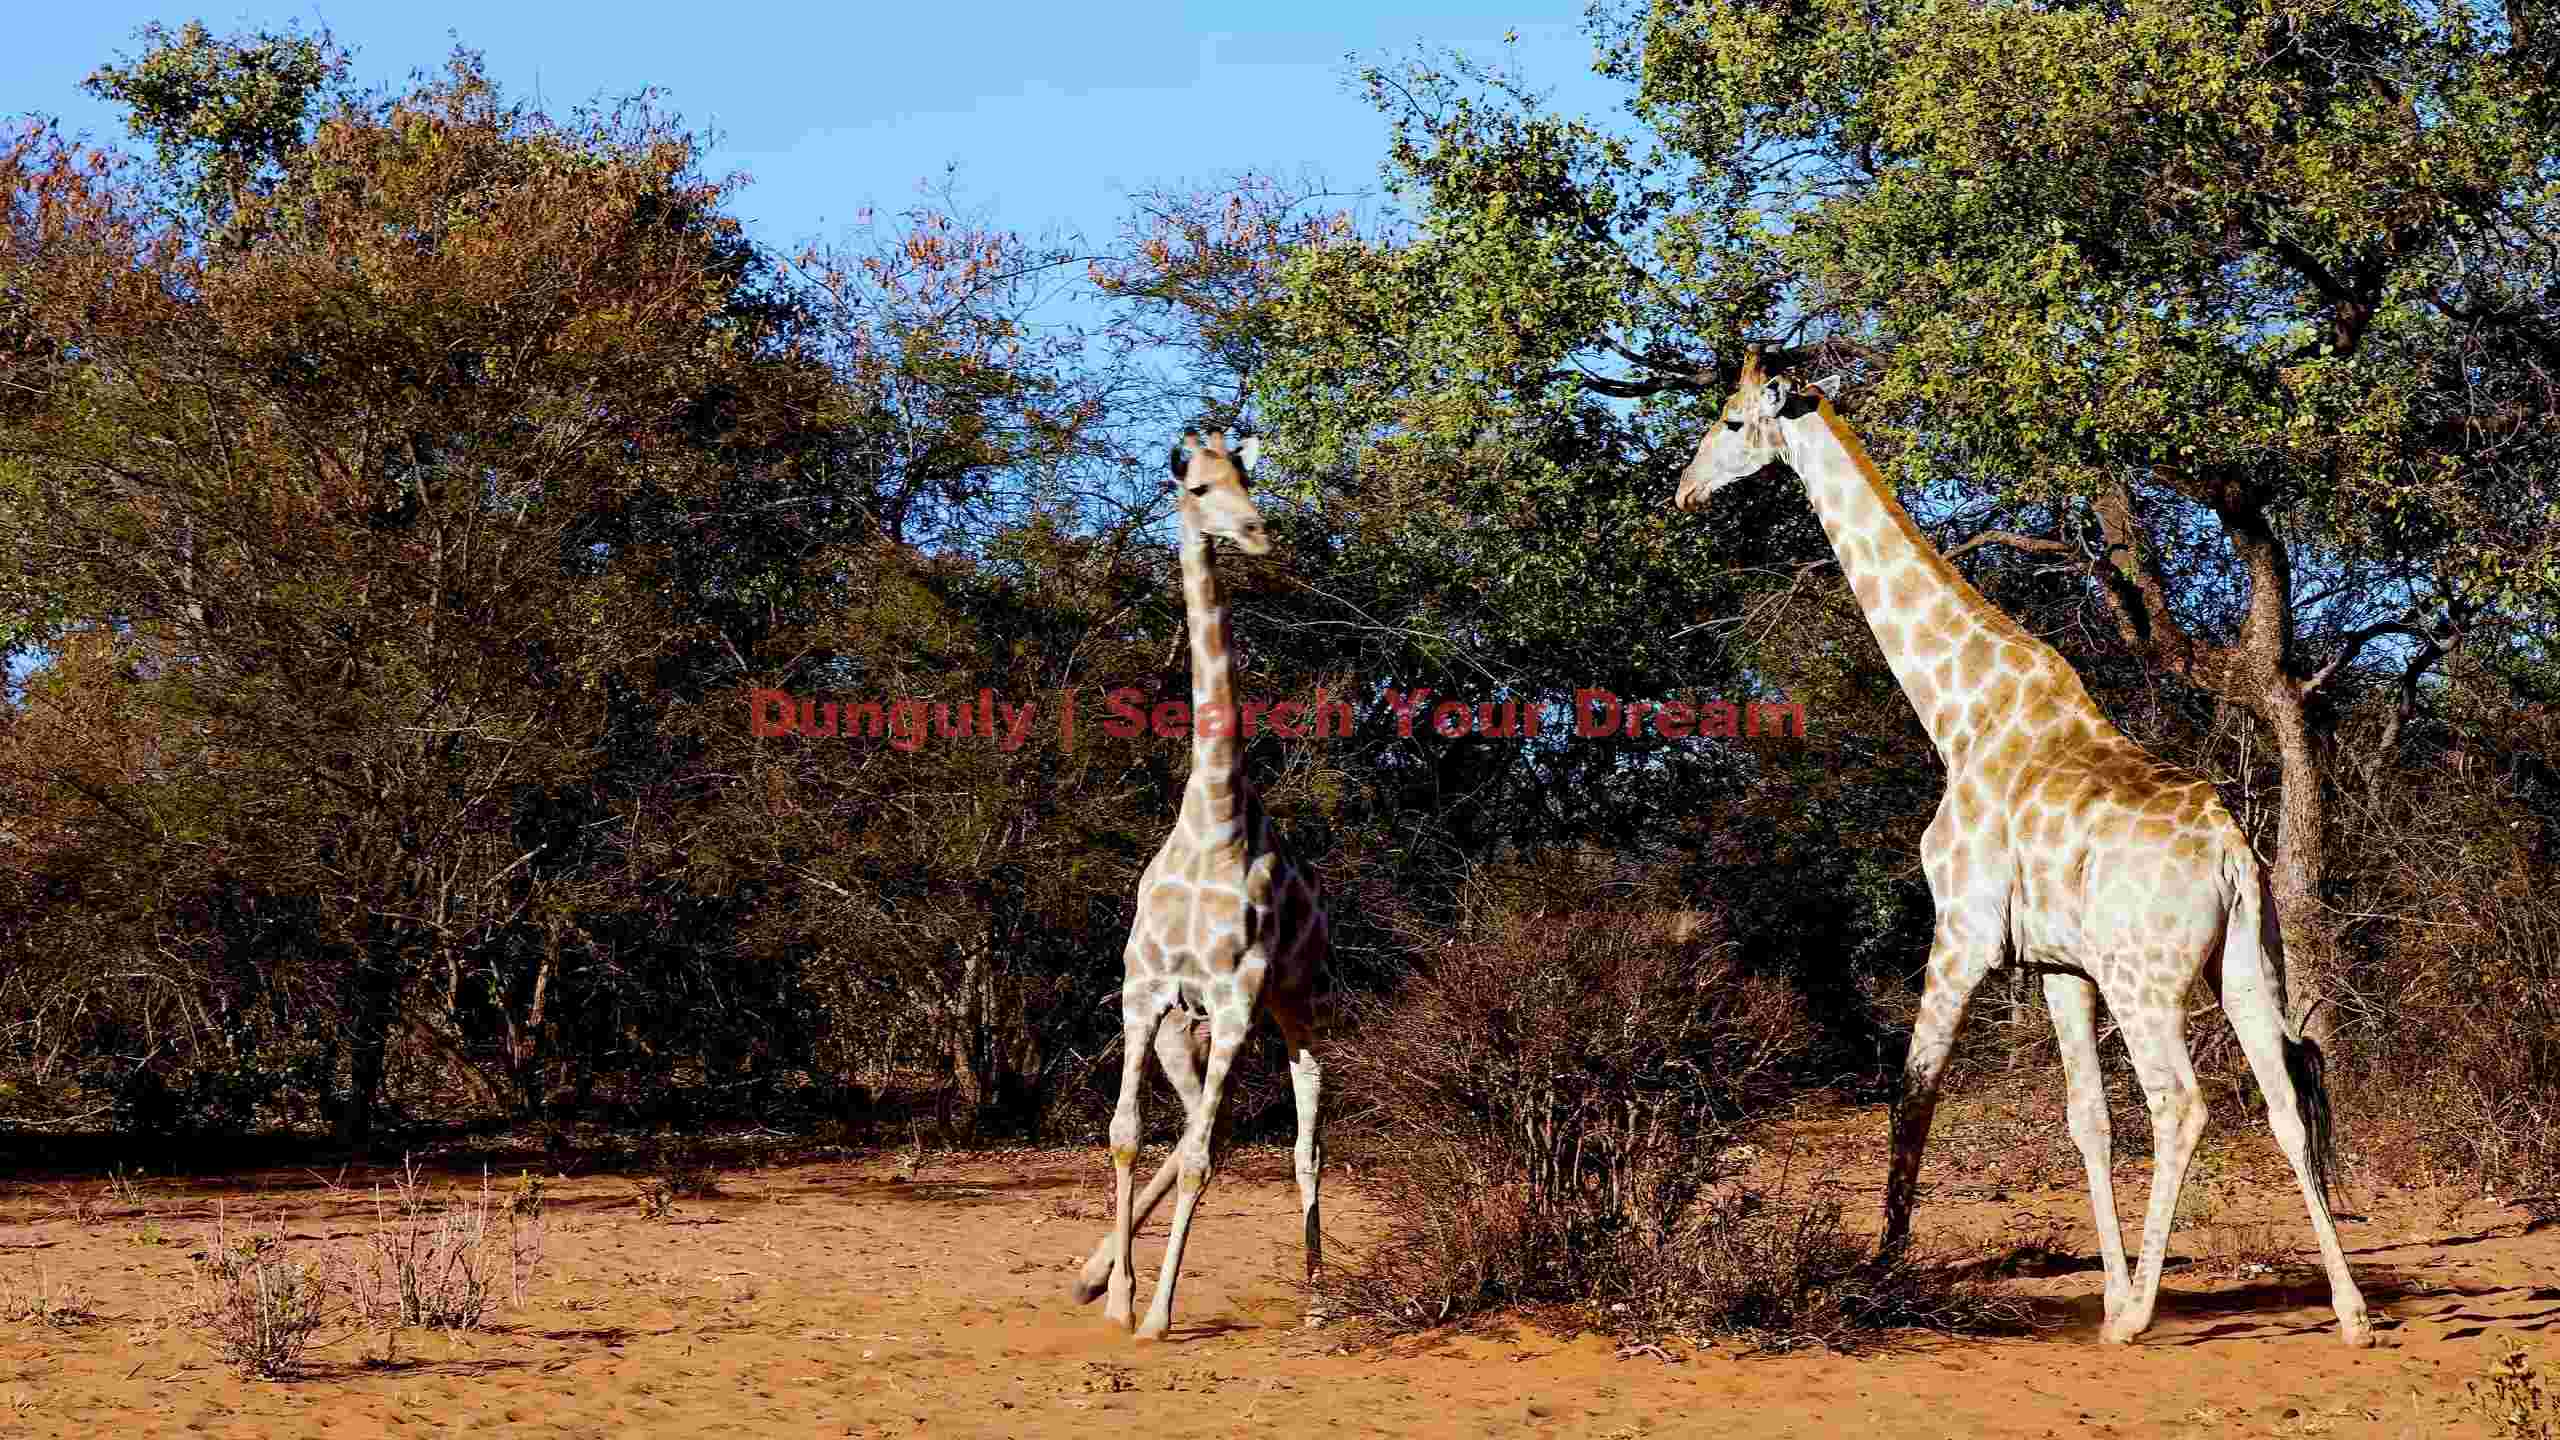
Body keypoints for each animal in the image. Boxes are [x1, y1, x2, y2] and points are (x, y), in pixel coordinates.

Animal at [1066, 428, 1329, 1342]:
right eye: (1202, 487)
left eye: (1249, 478)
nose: (1255, 531)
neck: (1213, 821)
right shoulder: (1144, 990)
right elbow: (1125, 1133)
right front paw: (1116, 1296)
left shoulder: (1238, 996)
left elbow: (1203, 1163)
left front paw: (1154, 1316)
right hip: (1190, 1030)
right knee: (1187, 1128)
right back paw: (1093, 1276)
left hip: (1294, 1001)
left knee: (1303, 1128)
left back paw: (1318, 1294)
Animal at [1671, 347, 2371, 1347]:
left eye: (1732, 422)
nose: (1686, 489)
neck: (1958, 712)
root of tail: (2233, 854)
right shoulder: (2057, 964)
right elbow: (2086, 1121)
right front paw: (2109, 1286)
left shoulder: (1961, 932)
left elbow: (1913, 1094)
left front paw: (1881, 1269)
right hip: (2242, 959)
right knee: (2284, 1101)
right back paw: (2348, 1310)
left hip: (2145, 978)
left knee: (2181, 1105)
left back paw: (2143, 1317)